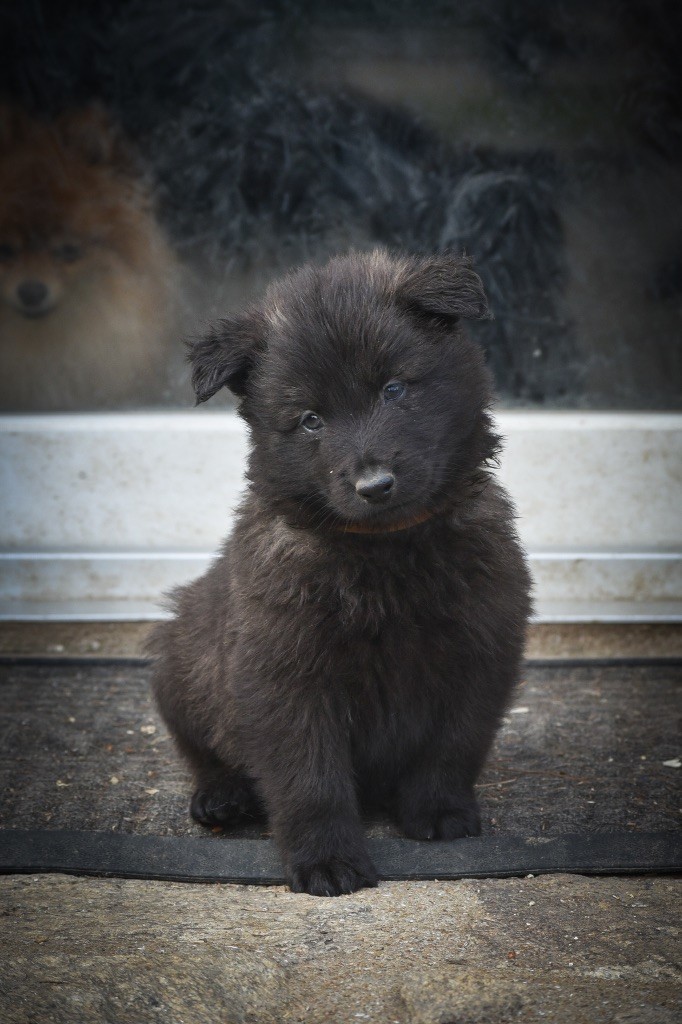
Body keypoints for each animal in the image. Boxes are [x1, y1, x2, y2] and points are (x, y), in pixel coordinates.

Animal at [149, 249, 532, 897]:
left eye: (394, 388)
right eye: (310, 420)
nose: (374, 485)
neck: (386, 552)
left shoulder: (480, 650)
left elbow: (451, 745)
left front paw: (438, 811)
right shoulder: (285, 673)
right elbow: (310, 778)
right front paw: (326, 858)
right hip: (181, 664)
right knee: (204, 751)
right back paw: (222, 796)